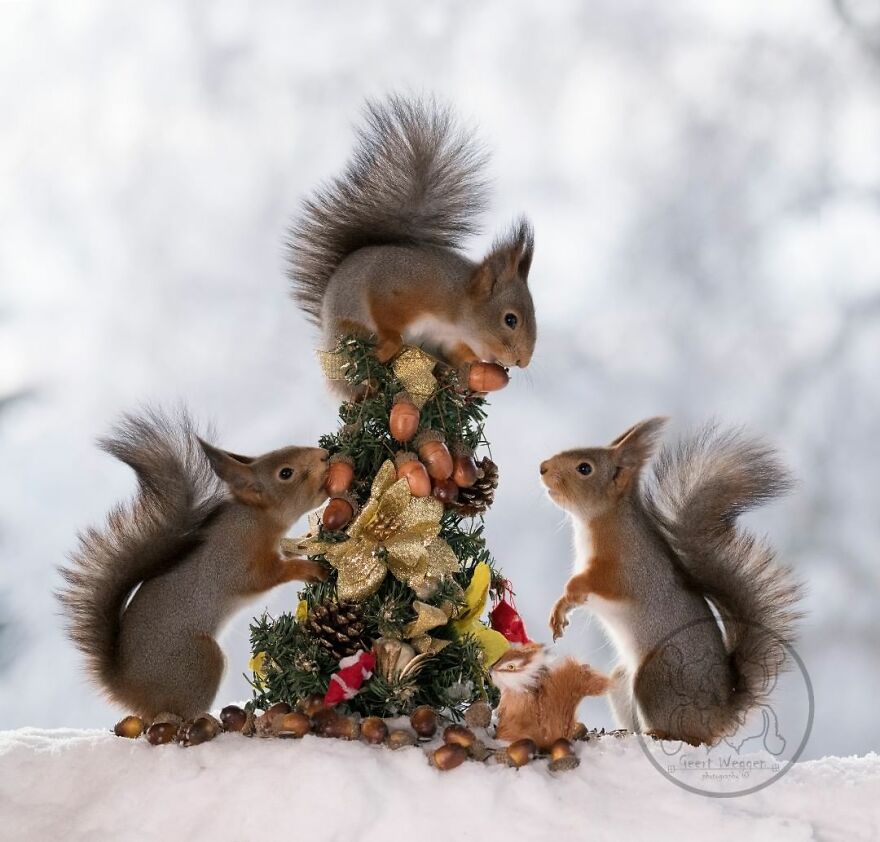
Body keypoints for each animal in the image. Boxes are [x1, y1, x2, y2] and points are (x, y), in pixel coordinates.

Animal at [58, 410, 330, 721]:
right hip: (199, 663)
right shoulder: (234, 561)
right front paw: (308, 570)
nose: (325, 455)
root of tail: (125, 687)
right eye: (285, 473)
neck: (253, 518)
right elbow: (266, 576)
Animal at [287, 95, 537, 383]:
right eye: (510, 320)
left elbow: (457, 353)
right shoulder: (399, 286)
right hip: (349, 326)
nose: (522, 362)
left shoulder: (447, 339)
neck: (455, 305)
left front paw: (471, 369)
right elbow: (386, 316)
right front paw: (390, 345)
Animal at [540, 418, 802, 746]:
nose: (543, 468)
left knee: (689, 737)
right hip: (622, 682)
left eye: (584, 468)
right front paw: (559, 611)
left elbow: (594, 585)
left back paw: (659, 733)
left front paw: (567, 595)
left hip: (655, 677)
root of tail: (719, 715)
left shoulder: (626, 570)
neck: (604, 520)